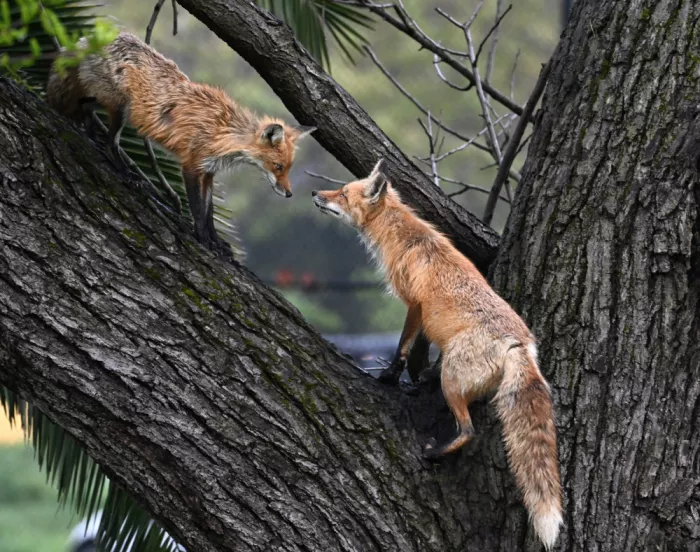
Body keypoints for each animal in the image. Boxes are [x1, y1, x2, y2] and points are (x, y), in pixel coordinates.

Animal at [46, 31, 315, 256]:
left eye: (288, 168)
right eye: (278, 167)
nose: (289, 194)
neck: (223, 132)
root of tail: (90, 38)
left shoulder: (209, 172)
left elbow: (209, 212)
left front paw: (216, 241)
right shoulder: (191, 165)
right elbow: (197, 209)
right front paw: (202, 239)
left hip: (107, 102)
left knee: (85, 108)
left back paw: (91, 136)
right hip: (121, 108)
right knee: (111, 140)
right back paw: (124, 169)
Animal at [312, 159, 563, 550]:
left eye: (341, 193)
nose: (314, 193)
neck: (406, 240)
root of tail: (519, 342)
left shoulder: (414, 304)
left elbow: (404, 346)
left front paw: (390, 377)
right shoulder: (421, 311)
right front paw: (415, 375)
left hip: (453, 381)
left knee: (469, 431)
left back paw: (433, 452)